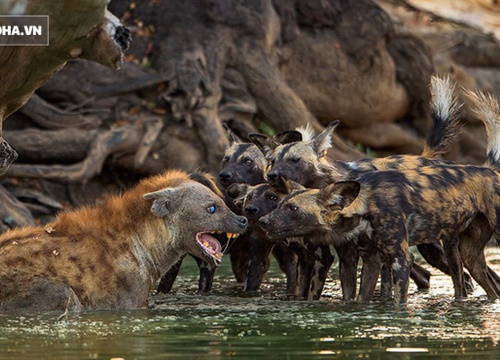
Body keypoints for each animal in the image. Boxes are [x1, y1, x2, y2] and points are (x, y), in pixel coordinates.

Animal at [250, 74, 472, 300]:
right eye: (272, 161)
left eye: (294, 160)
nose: (272, 176)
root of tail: (424, 157)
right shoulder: (339, 254)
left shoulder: (336, 255)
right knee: (426, 276)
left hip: (431, 246)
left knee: (463, 277)